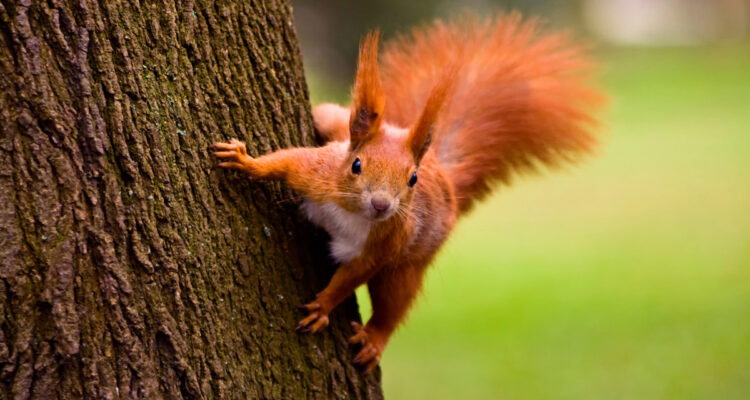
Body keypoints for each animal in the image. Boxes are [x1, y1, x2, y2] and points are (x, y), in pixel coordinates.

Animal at [210, 13, 603, 372]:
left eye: (412, 179)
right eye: (356, 165)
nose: (381, 205)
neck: (352, 213)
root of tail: (444, 177)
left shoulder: (386, 243)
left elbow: (352, 276)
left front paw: (323, 307)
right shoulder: (318, 174)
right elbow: (285, 162)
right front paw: (245, 161)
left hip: (409, 265)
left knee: (393, 303)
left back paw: (374, 339)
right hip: (335, 123)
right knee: (328, 116)